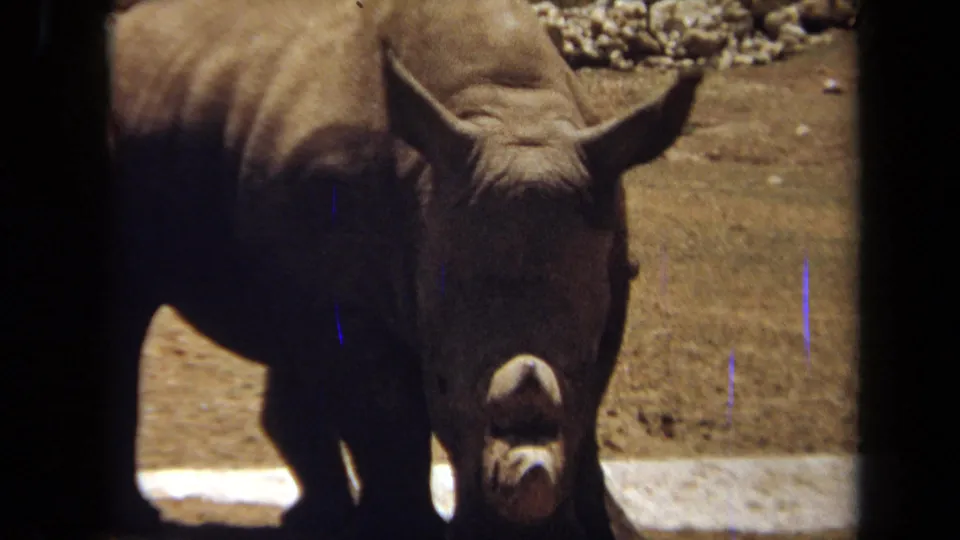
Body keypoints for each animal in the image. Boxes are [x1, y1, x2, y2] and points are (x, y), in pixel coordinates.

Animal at [108, 0, 702, 539]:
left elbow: (586, 415)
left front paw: (609, 529)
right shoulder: (353, 304)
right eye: (440, 382)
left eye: (583, 364)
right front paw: (405, 528)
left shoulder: (612, 261)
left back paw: (313, 521)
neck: (510, 107)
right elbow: (388, 420)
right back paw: (141, 519)